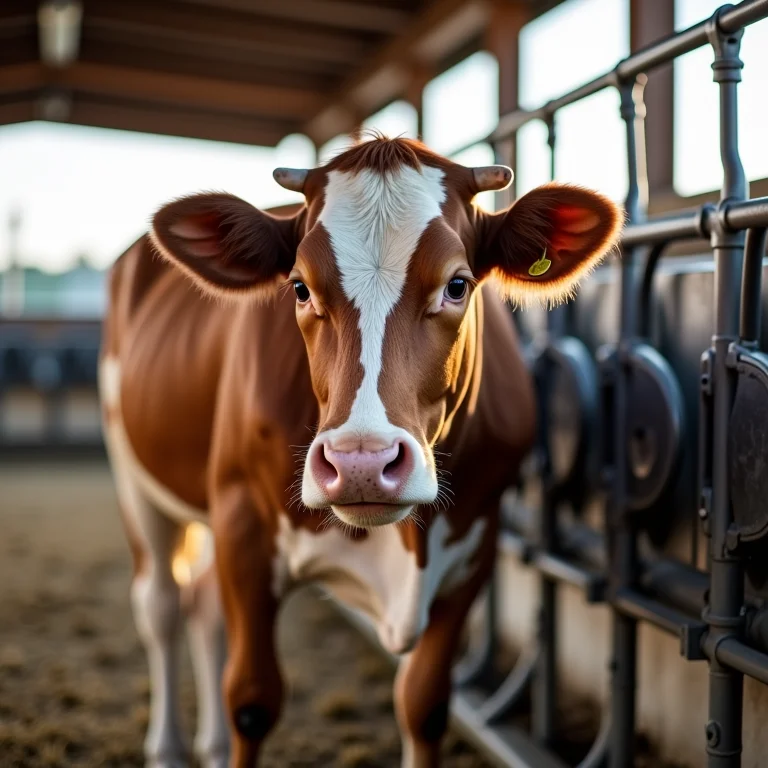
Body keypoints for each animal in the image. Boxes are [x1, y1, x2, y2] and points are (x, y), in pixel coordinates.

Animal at [99, 136, 622, 768]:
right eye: (300, 287)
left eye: (457, 285)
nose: (361, 463)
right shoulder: (242, 522)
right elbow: (251, 698)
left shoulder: (476, 544)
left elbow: (424, 705)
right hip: (134, 476)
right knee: (162, 605)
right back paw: (170, 747)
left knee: (201, 607)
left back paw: (213, 747)